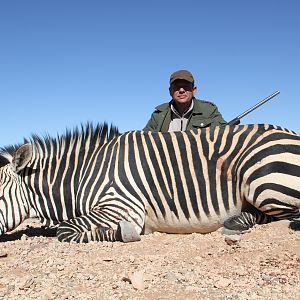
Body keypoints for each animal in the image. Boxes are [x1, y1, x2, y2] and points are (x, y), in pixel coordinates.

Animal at [0, 123, 298, 243]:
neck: (84, 174)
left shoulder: (120, 206)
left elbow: (65, 230)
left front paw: (124, 233)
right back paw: (236, 221)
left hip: (260, 180)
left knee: (288, 215)